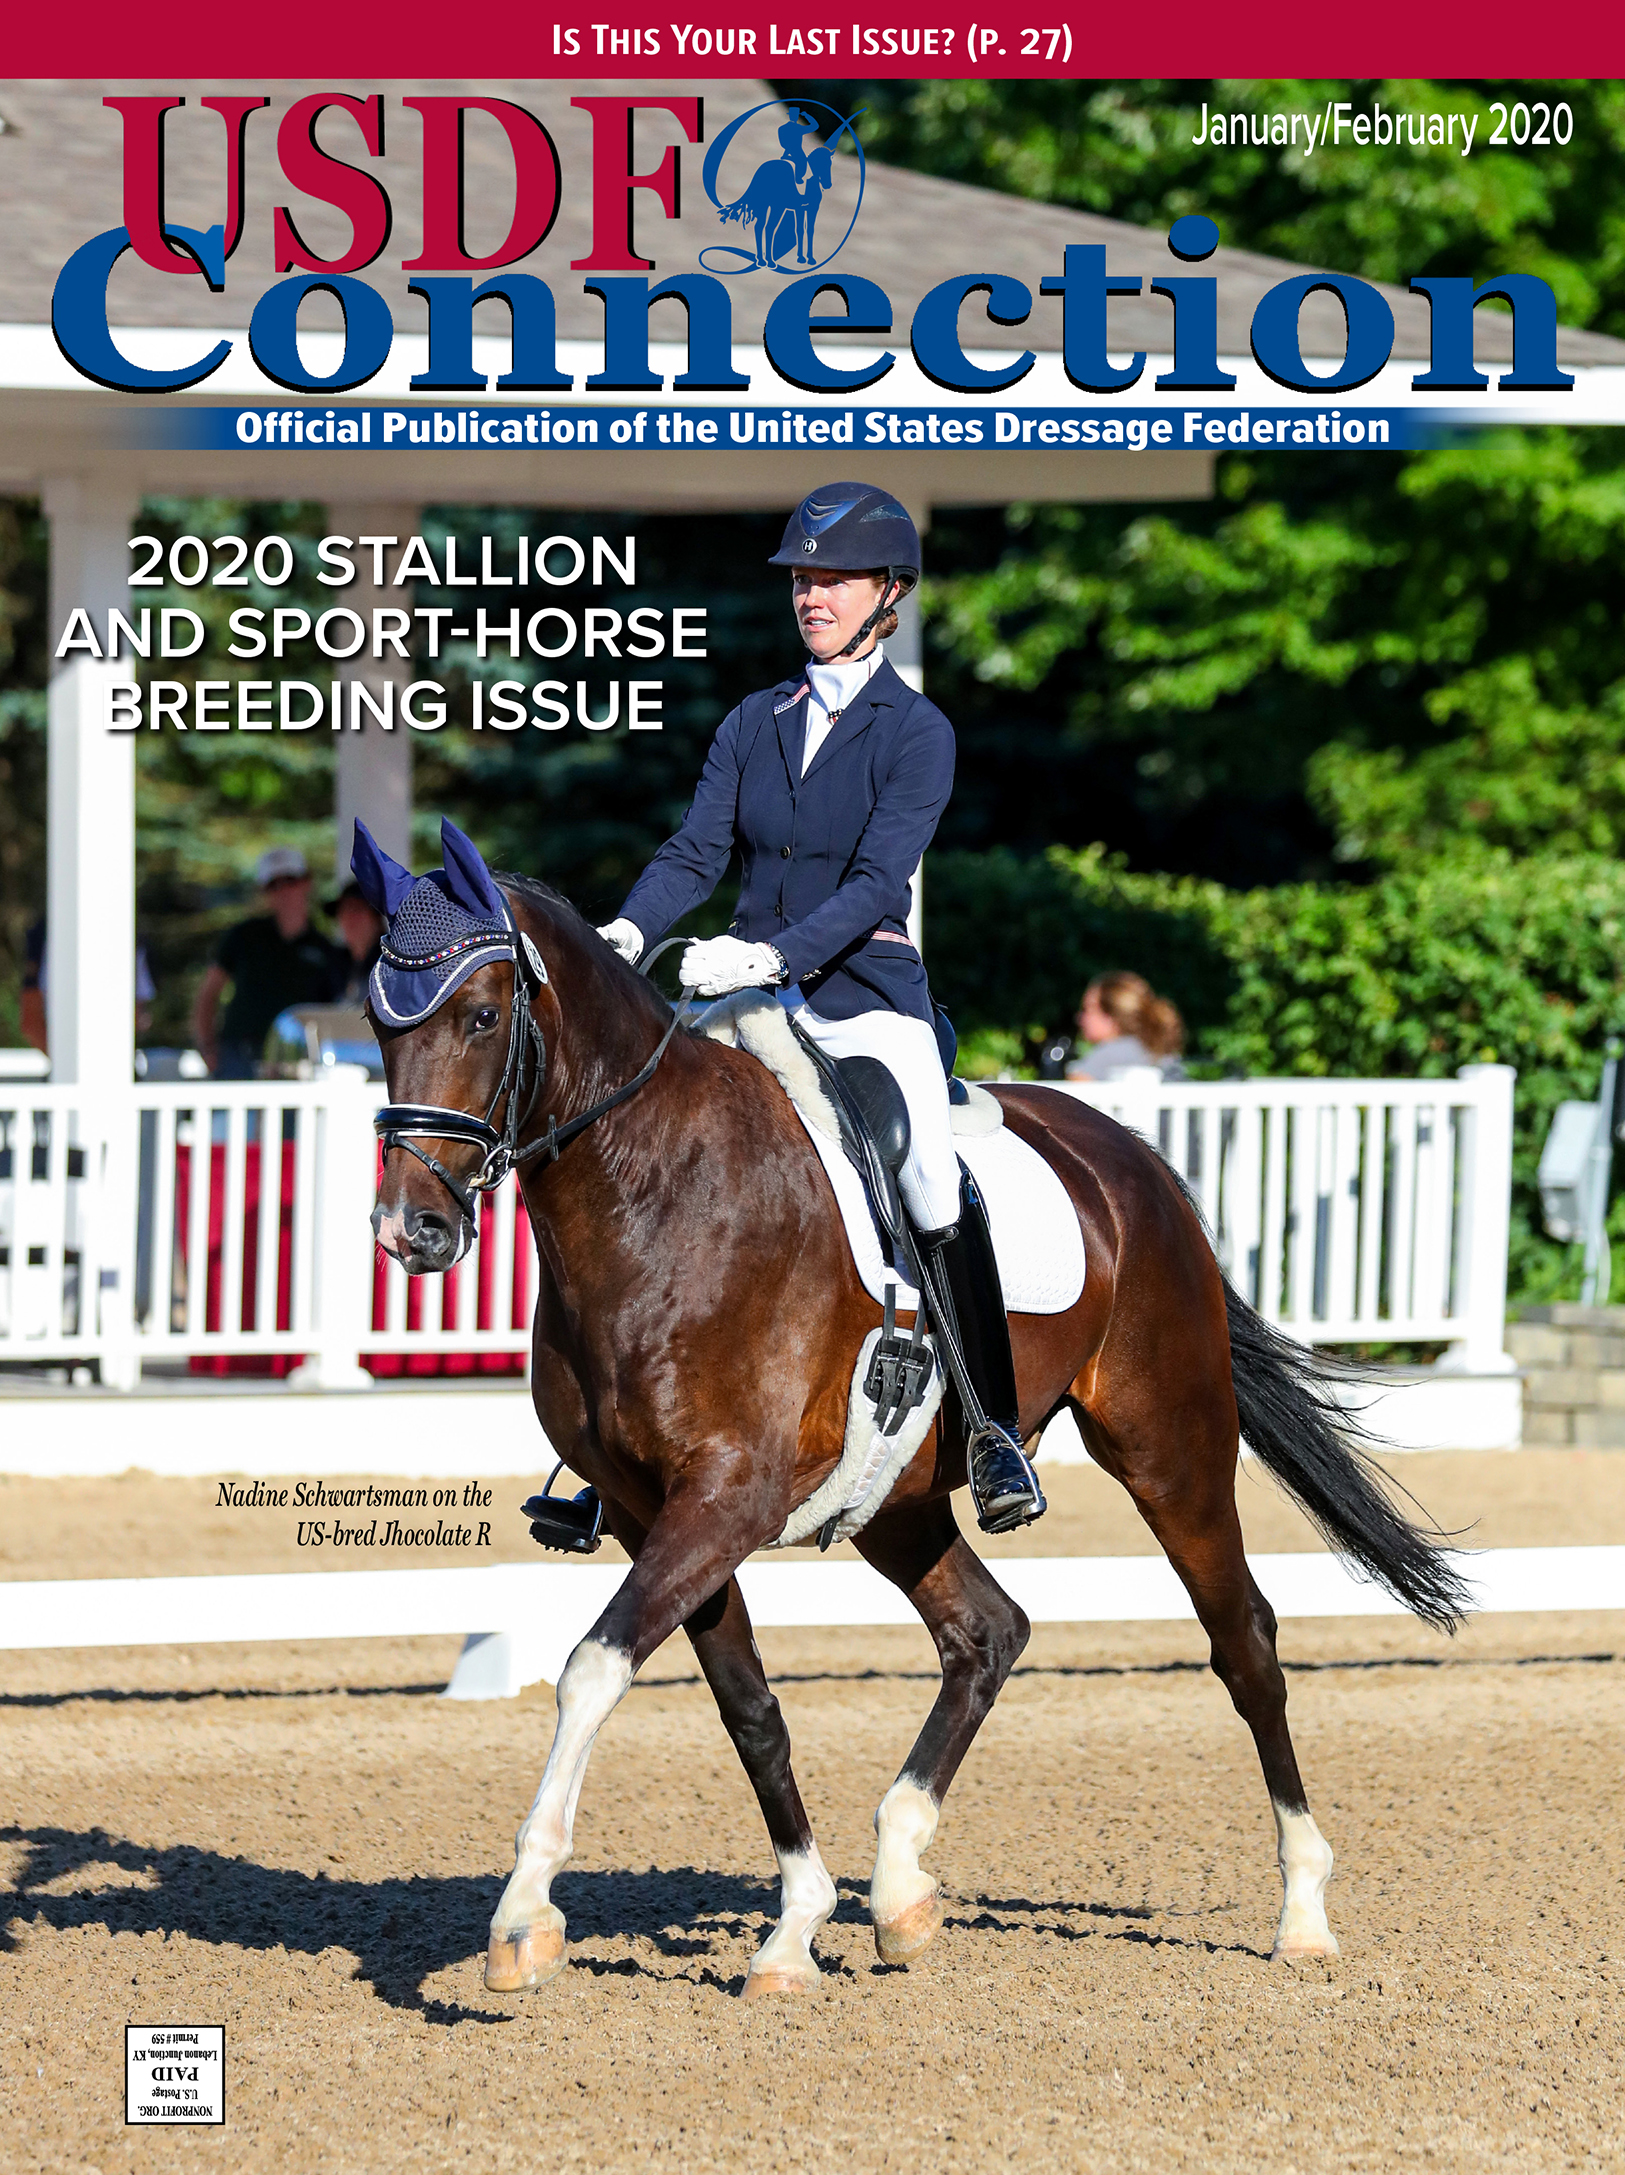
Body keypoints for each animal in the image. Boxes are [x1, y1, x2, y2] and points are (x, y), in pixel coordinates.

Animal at [366, 853, 1469, 1999]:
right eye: (379, 1022)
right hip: (895, 1498)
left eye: (484, 1014)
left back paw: (1302, 1910)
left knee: (1241, 1639)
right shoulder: (649, 1508)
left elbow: (592, 1666)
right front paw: (795, 1927)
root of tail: (1125, 1156)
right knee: (987, 1630)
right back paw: (898, 1887)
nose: (412, 1231)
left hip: (1169, 1444)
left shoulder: (726, 1496)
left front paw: (522, 1916)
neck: (656, 1192)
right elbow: (746, 1706)